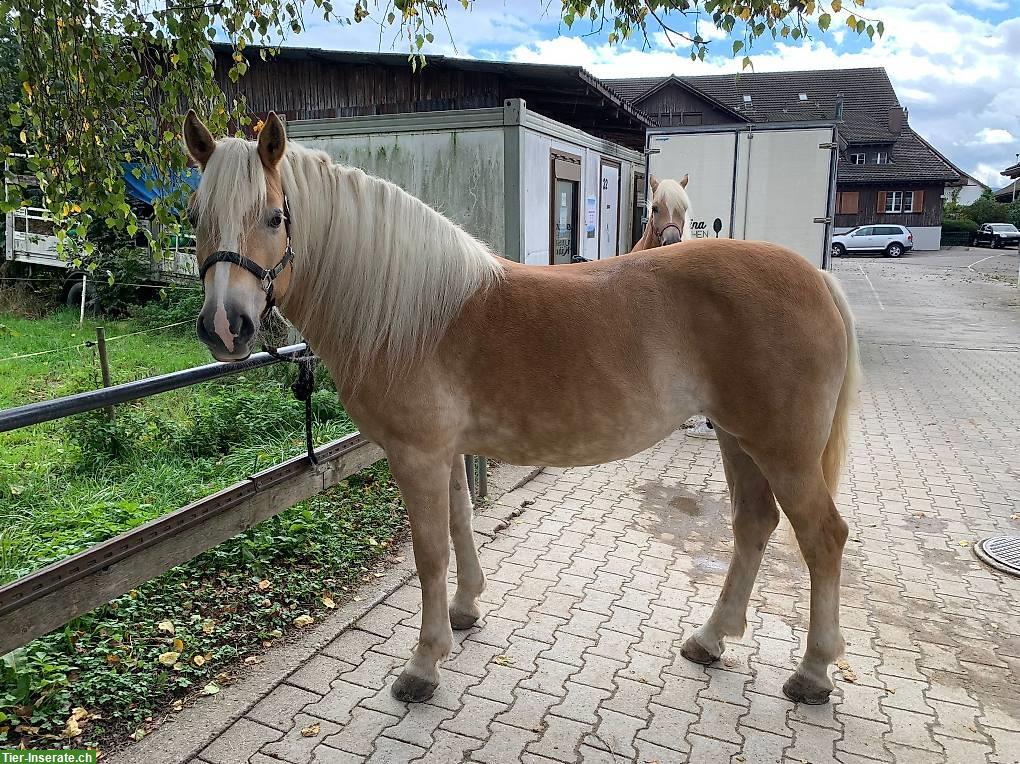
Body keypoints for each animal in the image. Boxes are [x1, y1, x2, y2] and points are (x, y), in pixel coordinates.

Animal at [185, 111, 860, 701]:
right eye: (194, 216)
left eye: (275, 216)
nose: (225, 326)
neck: (412, 311)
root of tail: (816, 279)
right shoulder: (445, 452)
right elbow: (460, 524)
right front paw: (464, 612)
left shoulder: (416, 454)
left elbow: (429, 553)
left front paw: (423, 665)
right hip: (737, 437)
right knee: (753, 526)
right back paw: (711, 639)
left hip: (783, 451)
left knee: (823, 538)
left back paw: (813, 673)